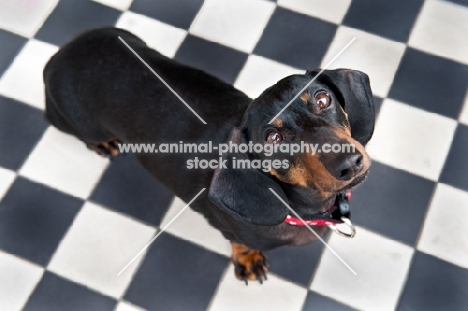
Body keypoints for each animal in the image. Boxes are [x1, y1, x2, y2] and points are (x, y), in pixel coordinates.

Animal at [43, 28, 372, 284]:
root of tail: (56, 58)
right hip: (72, 121)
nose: (349, 163)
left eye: (323, 99)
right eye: (273, 138)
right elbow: (239, 242)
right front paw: (247, 259)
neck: (304, 205)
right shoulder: (226, 227)